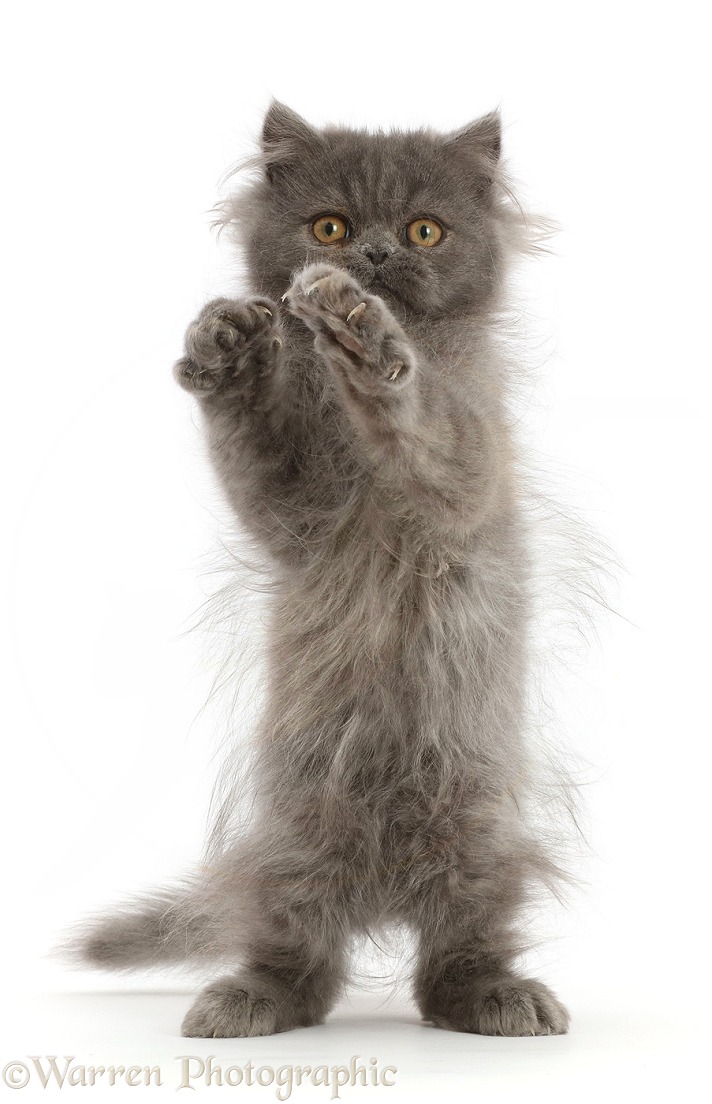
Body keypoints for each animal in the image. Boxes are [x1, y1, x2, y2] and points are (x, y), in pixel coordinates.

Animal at [73, 101, 574, 1033]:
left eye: (424, 230)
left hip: (478, 825)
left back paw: (496, 998)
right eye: (330, 226)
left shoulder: (465, 470)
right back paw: (246, 1000)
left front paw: (368, 339)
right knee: (300, 953)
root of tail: (382, 886)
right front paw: (229, 351)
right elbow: (253, 447)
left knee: (456, 951)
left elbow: (424, 421)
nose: (372, 257)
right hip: (293, 832)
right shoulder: (295, 514)